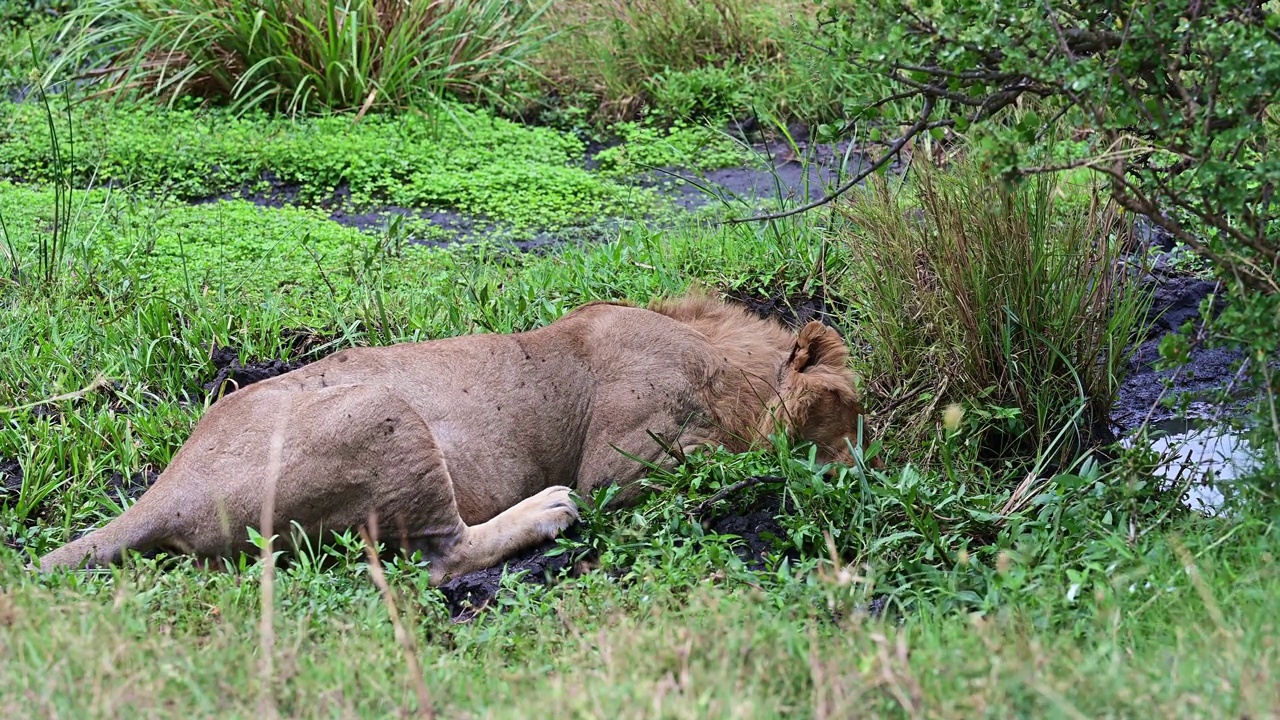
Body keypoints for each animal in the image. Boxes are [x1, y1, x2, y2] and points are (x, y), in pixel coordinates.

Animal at [42, 288, 880, 579]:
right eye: (844, 420)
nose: (862, 477)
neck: (726, 361)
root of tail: (168, 489)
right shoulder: (621, 463)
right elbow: (720, 467)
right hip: (386, 418)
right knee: (444, 557)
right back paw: (546, 510)